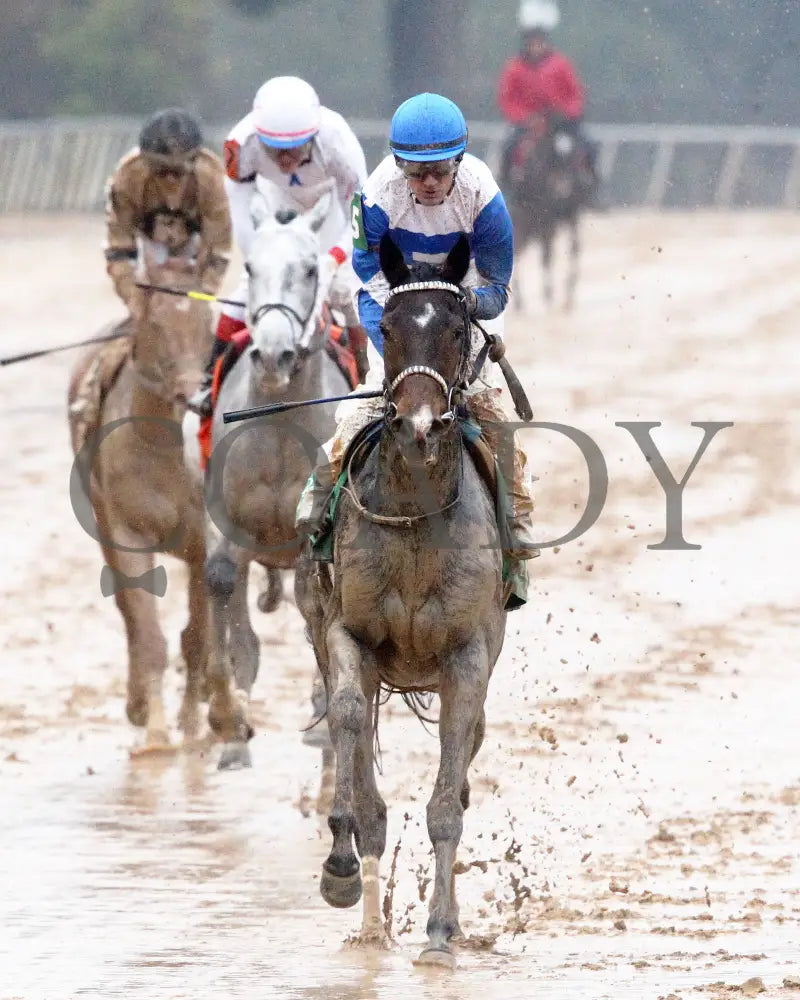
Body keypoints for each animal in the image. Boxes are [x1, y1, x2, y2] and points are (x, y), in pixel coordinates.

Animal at [67, 274, 214, 752]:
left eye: (208, 325)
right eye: (154, 325)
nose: (195, 397)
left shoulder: (205, 546)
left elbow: (197, 637)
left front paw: (192, 723)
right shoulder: (126, 535)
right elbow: (148, 634)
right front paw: (154, 733)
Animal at [294, 234, 506, 968]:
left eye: (457, 327)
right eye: (385, 327)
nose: (417, 423)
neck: (414, 515)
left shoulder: (467, 656)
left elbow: (447, 800)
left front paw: (441, 931)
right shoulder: (348, 635)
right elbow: (348, 721)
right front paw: (340, 870)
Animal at [506, 113, 592, 310]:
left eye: (573, 156)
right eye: (553, 154)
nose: (564, 185)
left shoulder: (571, 214)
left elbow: (575, 247)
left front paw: (568, 293)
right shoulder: (545, 217)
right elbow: (547, 254)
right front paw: (549, 295)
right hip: (522, 220)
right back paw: (520, 301)